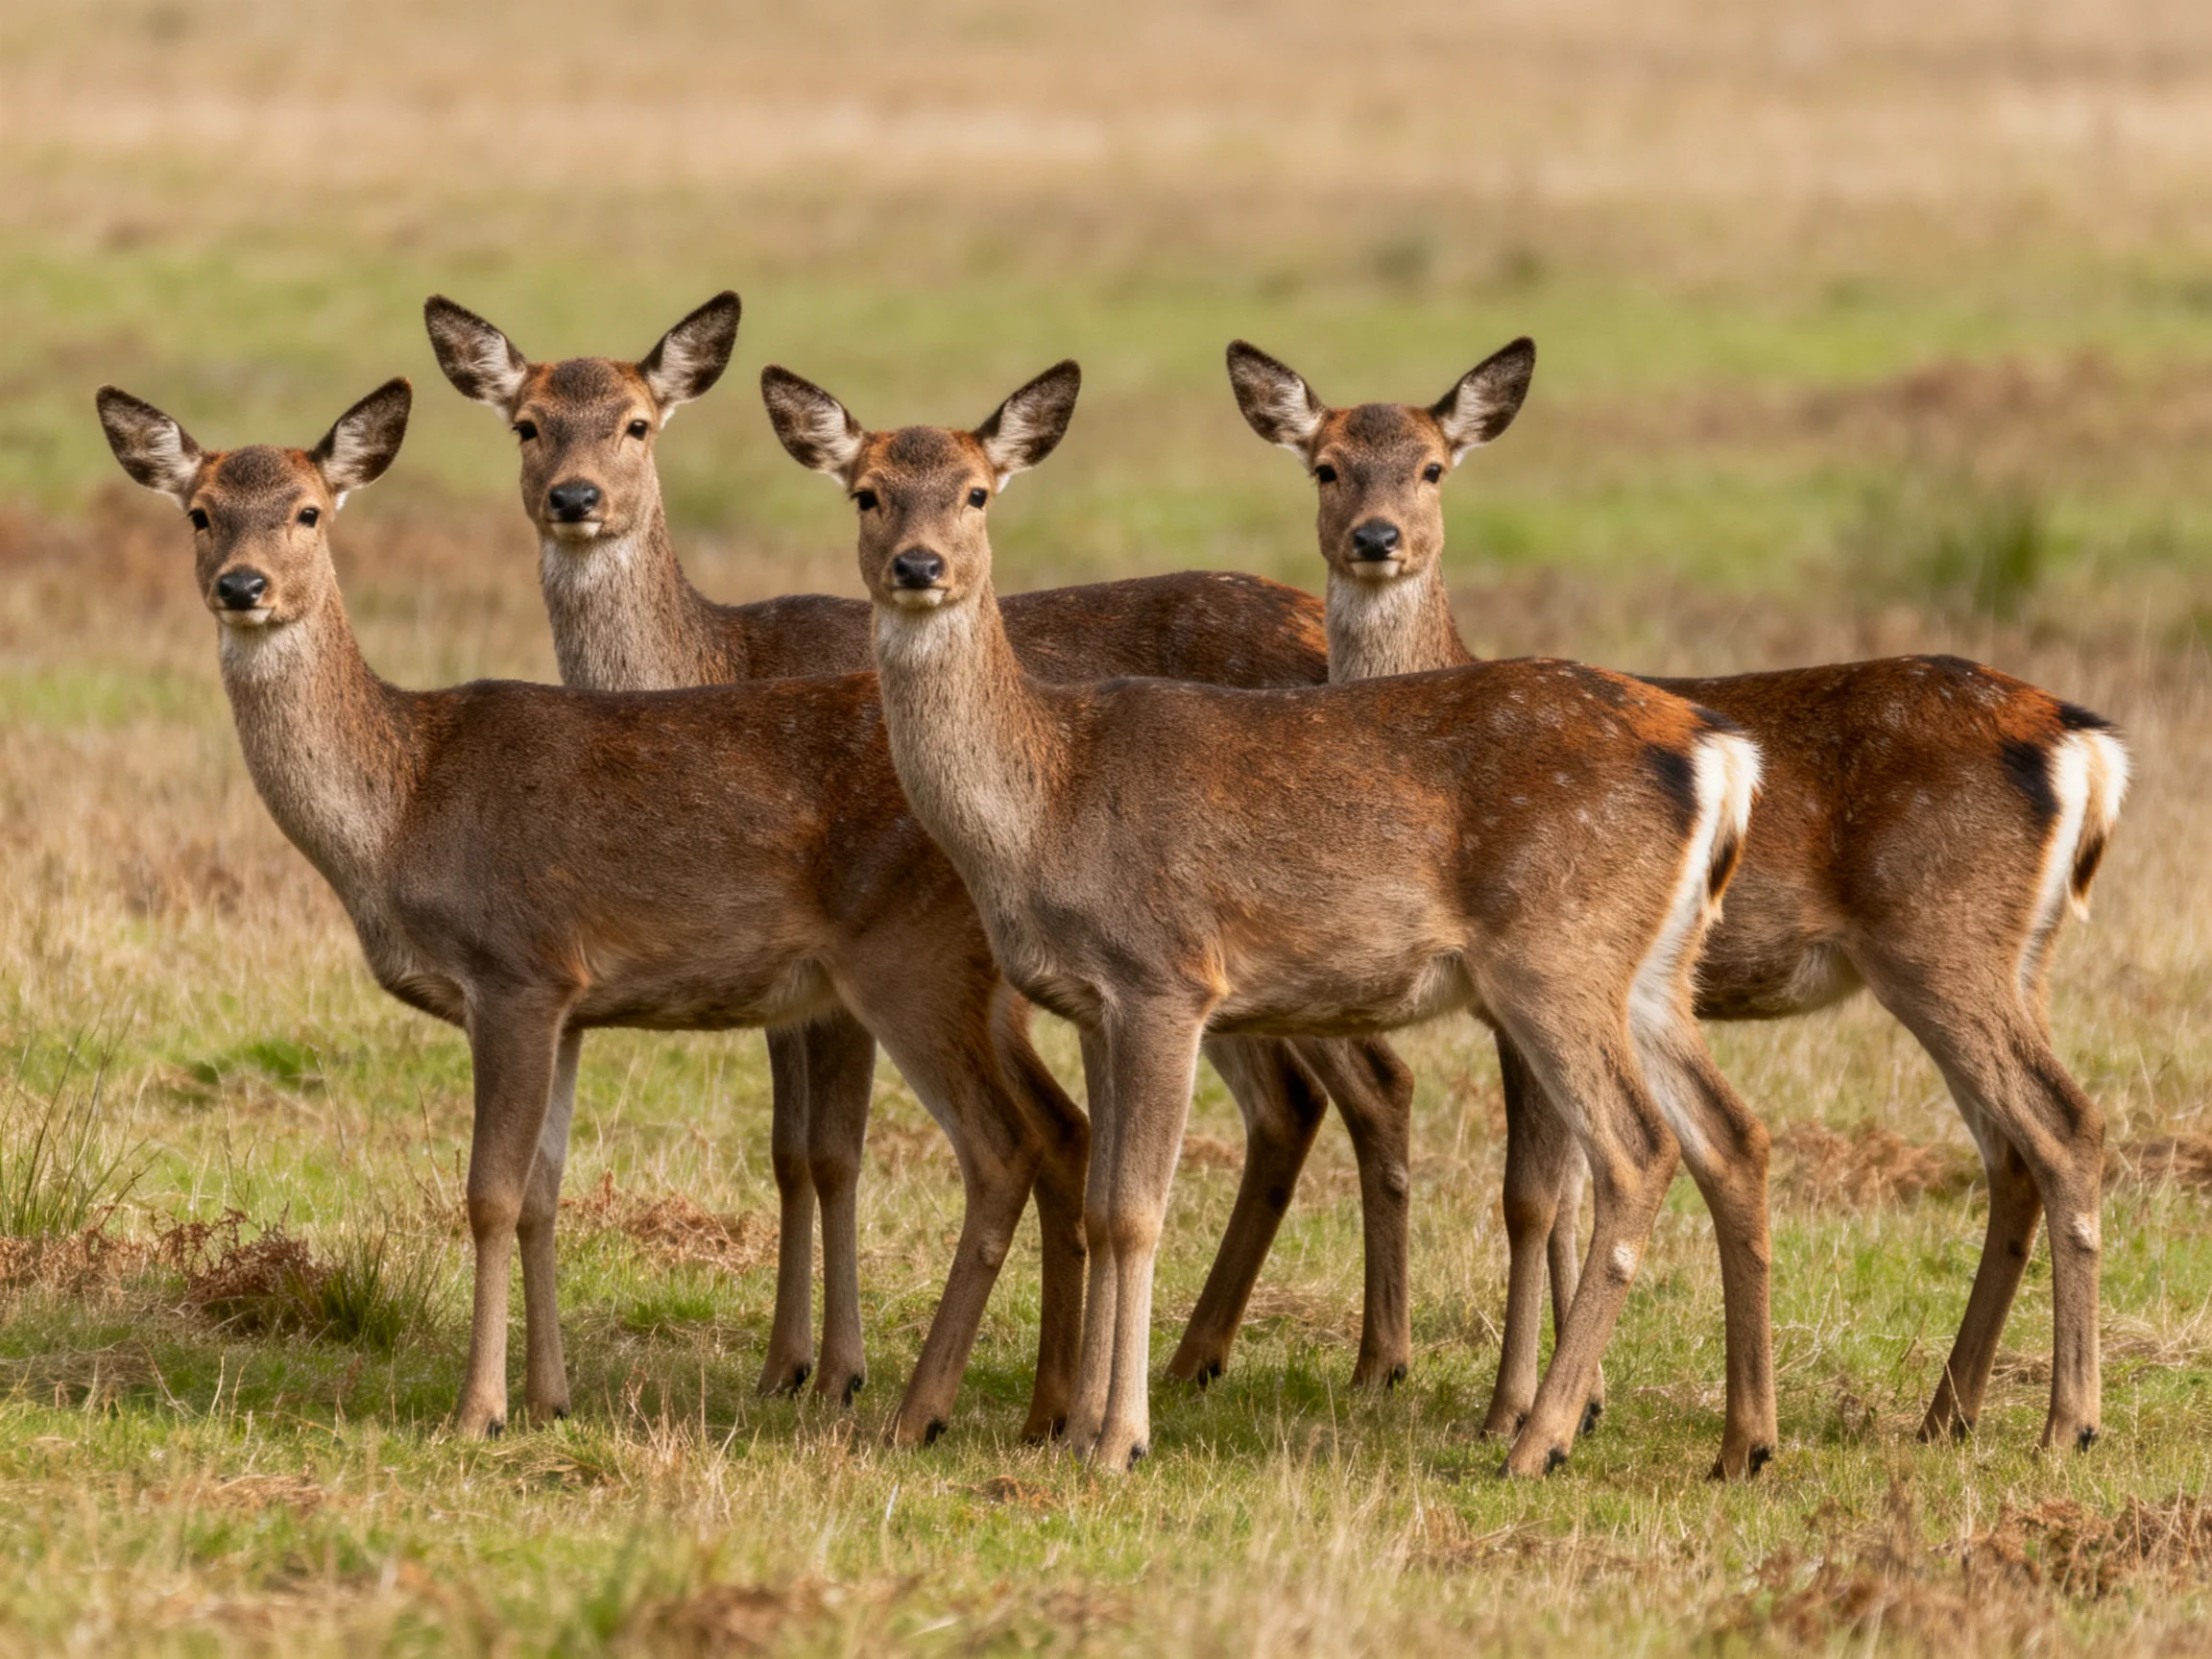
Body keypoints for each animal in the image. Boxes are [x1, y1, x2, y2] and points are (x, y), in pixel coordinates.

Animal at [97, 377, 1105, 1448]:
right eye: (200, 513)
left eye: (308, 512)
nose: (242, 586)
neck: (402, 809)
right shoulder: (570, 1005)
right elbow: (543, 1194)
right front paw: (549, 1397)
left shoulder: (516, 968)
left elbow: (489, 1195)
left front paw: (478, 1410)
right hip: (975, 984)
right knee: (1060, 1129)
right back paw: (1042, 1411)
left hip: (913, 960)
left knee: (1001, 1150)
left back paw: (919, 1413)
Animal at [420, 291, 1447, 1405]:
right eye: (527, 423)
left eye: (637, 423)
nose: (575, 498)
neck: (712, 663)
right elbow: (788, 1150)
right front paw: (788, 1366)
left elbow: (829, 1151)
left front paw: (833, 1369)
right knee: (1297, 1102)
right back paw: (1197, 1360)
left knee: (1370, 1084)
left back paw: (1372, 1362)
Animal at [762, 357, 1778, 1479]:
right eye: (867, 492)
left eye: (978, 492)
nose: (919, 563)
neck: (1046, 802)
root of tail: (1718, 754)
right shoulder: (1096, 1002)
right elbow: (1106, 1202)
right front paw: (1080, 1429)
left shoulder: (1164, 976)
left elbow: (1136, 1211)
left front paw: (1118, 1441)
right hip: (1653, 972)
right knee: (1732, 1133)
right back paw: (1742, 1443)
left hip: (1557, 956)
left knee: (1638, 1148)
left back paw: (1540, 1439)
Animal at [1223, 335, 2132, 1455]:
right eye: (1327, 465)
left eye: (1433, 466)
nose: (1376, 538)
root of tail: (2083, 742)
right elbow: (1566, 1190)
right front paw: (1577, 1400)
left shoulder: (1518, 994)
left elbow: (1533, 1195)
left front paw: (1514, 1409)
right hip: (2016, 955)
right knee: (2011, 1152)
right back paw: (1944, 1412)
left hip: (1943, 939)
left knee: (2063, 1124)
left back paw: (2067, 1421)